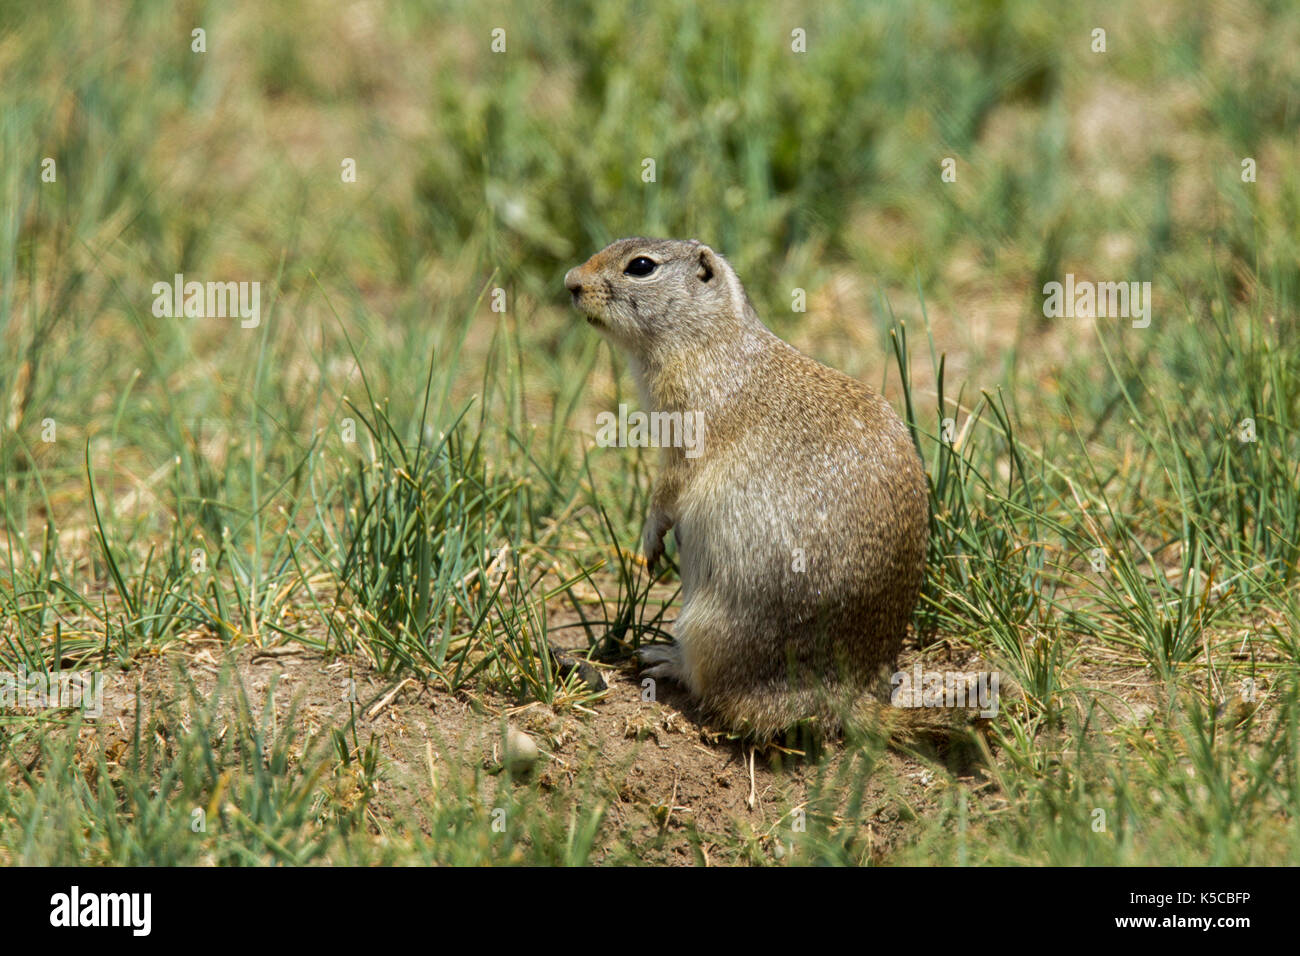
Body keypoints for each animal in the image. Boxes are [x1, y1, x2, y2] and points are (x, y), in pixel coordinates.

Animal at [564, 238, 930, 738]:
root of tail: (843, 697)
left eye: (640, 266)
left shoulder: (685, 425)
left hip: (710, 627)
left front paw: (650, 540)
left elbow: (669, 487)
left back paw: (666, 658)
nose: (570, 282)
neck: (712, 338)